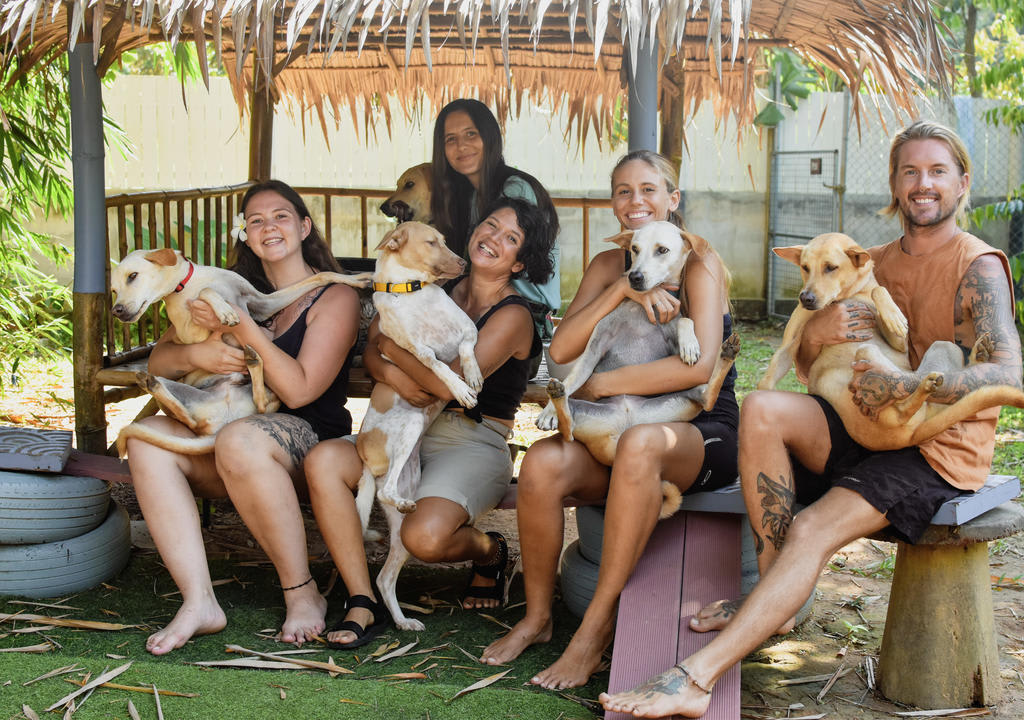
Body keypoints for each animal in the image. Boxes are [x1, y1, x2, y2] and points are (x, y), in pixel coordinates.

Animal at [352, 221, 483, 630]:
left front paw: (473, 374)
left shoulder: (467, 329)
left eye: (445, 240)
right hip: (408, 426)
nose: (464, 263)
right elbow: (437, 364)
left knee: (384, 577)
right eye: (431, 242)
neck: (414, 292)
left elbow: (466, 349)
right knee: (385, 493)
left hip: (403, 530)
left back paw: (403, 621)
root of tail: (363, 456)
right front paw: (459, 387)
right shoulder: (419, 350)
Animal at [540, 221, 741, 518]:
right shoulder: (596, 345)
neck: (641, 311)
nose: (633, 277)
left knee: (706, 396)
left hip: (680, 403)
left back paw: (726, 353)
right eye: (634, 249)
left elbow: (686, 321)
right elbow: (576, 376)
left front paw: (690, 344)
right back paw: (557, 397)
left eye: (662, 250)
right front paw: (547, 412)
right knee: (568, 429)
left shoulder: (671, 336)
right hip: (586, 416)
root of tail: (624, 430)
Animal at [761, 233, 1024, 450]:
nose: (805, 298)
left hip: (909, 349)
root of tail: (909, 437)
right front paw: (761, 394)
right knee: (909, 409)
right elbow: (770, 376)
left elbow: (879, 291)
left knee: (904, 403)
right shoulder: (788, 345)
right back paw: (964, 364)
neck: (846, 297)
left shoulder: (899, 343)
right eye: (805, 268)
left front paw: (894, 316)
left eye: (831, 267)